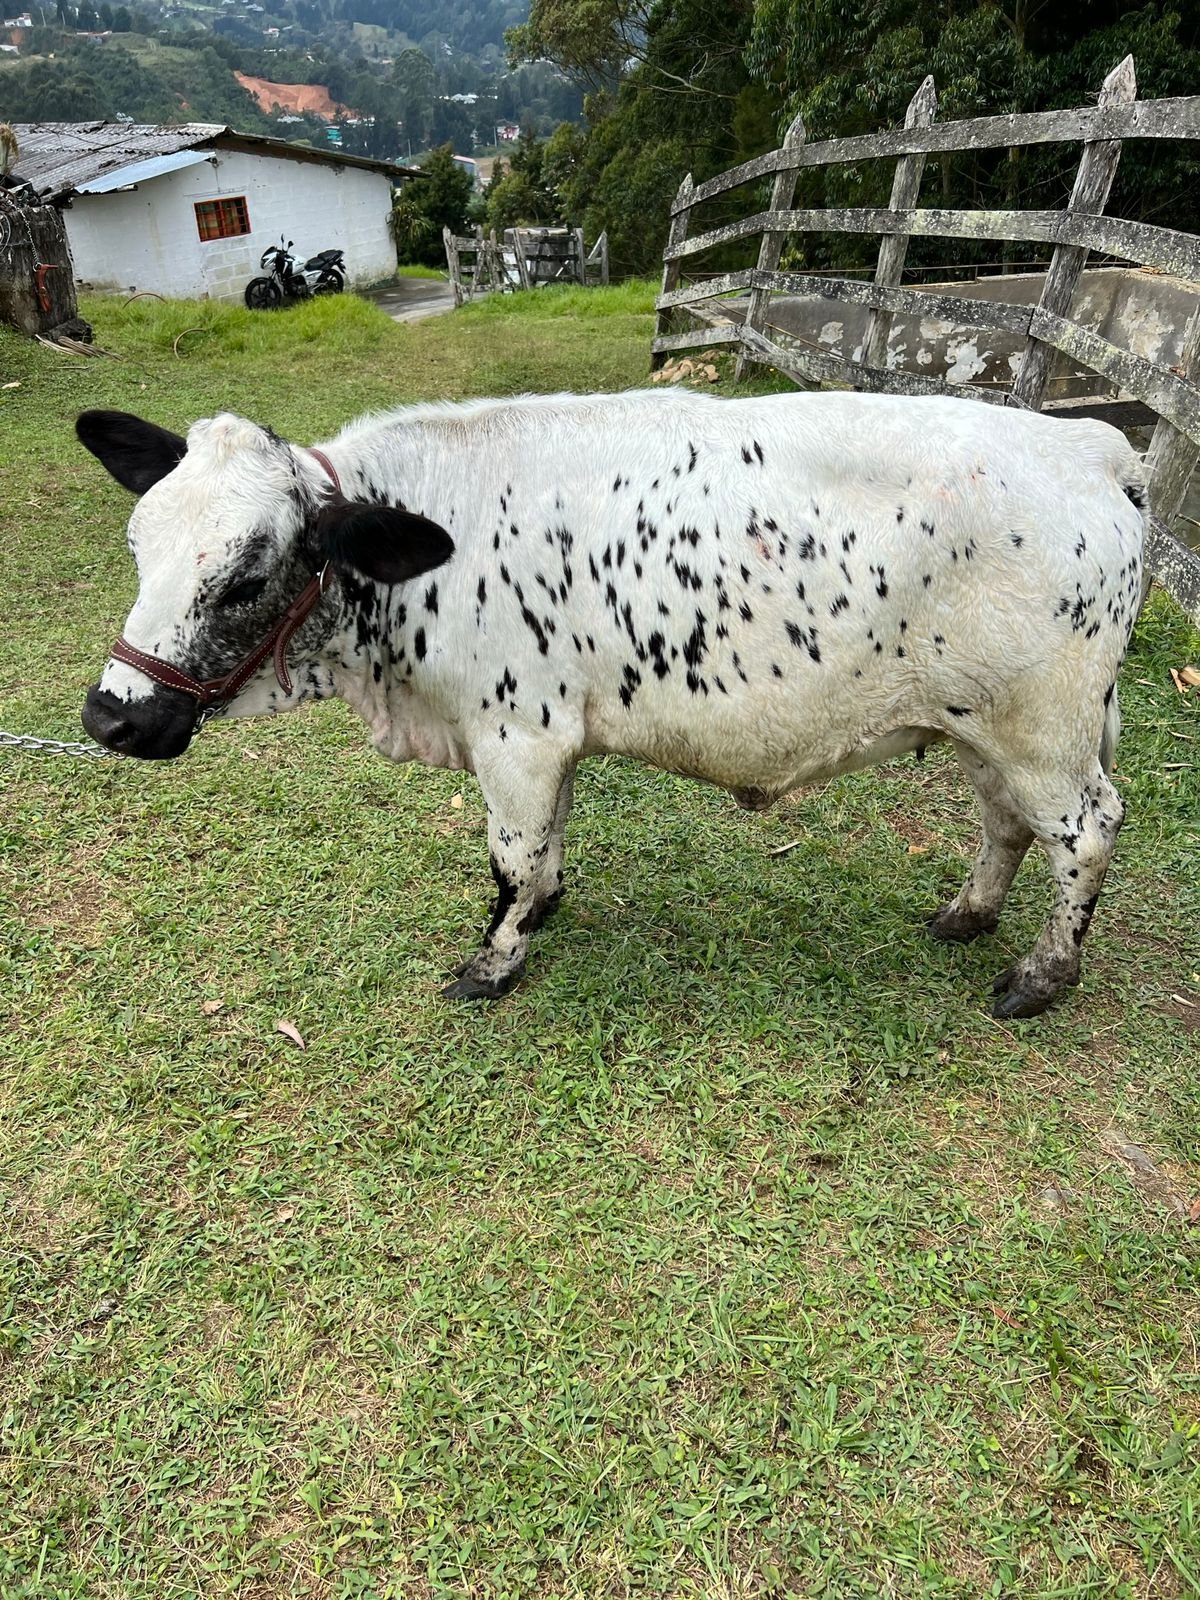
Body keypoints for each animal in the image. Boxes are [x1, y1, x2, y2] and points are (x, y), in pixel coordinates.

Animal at [76, 389, 1145, 1018]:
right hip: (985, 726)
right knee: (1005, 822)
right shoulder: (552, 737)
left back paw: (1042, 977)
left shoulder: (513, 733)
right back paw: (968, 915)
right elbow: (547, 840)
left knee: (1088, 832)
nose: (110, 717)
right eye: (136, 543)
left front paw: (493, 963)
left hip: (1043, 733)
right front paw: (545, 909)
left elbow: (509, 856)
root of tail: (1090, 444)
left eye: (247, 577)